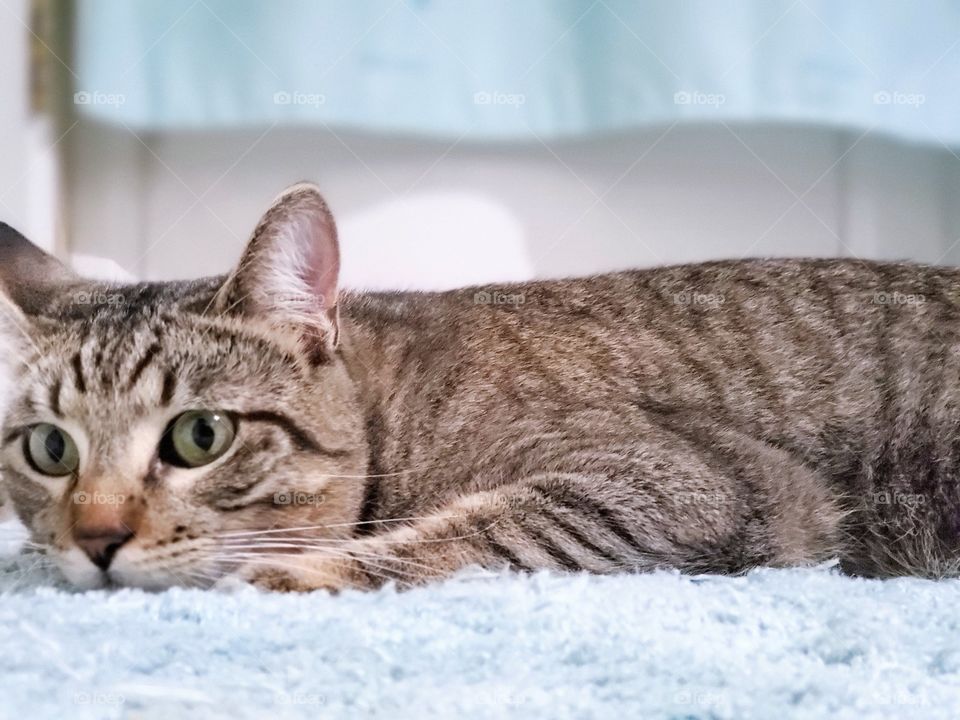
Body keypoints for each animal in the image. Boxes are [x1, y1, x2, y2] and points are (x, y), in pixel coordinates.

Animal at [1, 184, 960, 592]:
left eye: (199, 436)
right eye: (50, 449)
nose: (95, 539)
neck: (389, 410)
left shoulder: (687, 483)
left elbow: (478, 528)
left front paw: (298, 571)